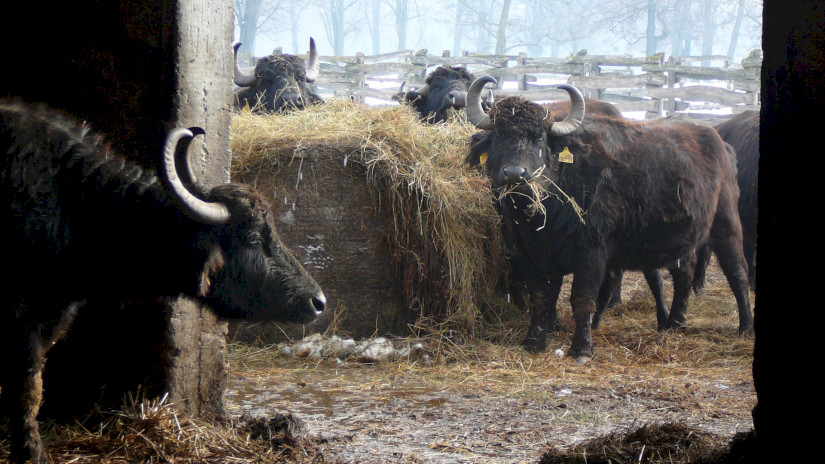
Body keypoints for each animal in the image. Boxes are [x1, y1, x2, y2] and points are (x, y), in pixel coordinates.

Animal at [0, 100, 326, 463]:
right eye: (253, 237)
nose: (318, 301)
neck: (79, 205)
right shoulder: (21, 319)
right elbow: (28, 390)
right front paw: (30, 453)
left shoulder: (50, 319)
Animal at [464, 76, 753, 362]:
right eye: (499, 135)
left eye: (539, 138)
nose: (515, 173)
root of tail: (721, 143)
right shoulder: (531, 254)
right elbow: (540, 298)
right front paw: (534, 341)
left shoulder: (592, 254)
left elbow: (582, 299)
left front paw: (581, 349)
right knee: (685, 272)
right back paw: (674, 324)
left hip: (726, 222)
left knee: (737, 272)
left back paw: (745, 328)